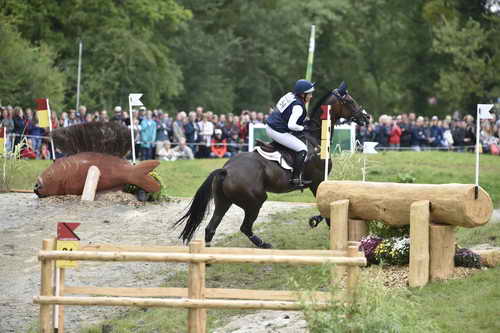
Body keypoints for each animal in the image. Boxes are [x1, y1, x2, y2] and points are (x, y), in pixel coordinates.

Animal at [174, 81, 370, 248]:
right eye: (350, 101)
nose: (366, 117)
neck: (316, 137)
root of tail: (225, 170)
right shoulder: (317, 182)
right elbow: (326, 209)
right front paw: (317, 222)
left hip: (223, 201)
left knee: (211, 228)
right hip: (255, 200)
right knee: (244, 227)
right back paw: (263, 244)